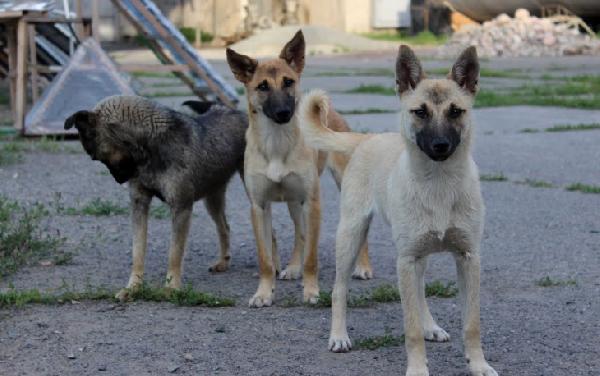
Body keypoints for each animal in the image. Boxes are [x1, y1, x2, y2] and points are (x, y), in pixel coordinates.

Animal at [67, 96, 250, 300]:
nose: (118, 180)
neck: (150, 145)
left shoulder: (181, 208)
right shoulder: (139, 204)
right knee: (224, 226)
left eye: (96, 156)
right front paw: (133, 287)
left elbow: (174, 253)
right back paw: (223, 262)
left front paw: (171, 287)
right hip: (213, 196)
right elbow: (138, 251)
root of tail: (234, 111)